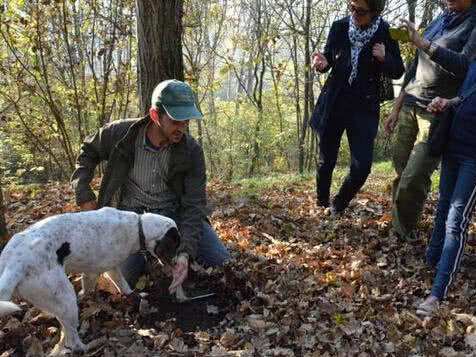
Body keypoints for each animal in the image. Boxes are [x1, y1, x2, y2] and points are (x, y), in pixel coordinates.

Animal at [0, 207, 180, 354]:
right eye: (175, 246)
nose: (176, 264)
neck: (138, 228)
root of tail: (14, 264)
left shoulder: (90, 273)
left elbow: (89, 289)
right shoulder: (106, 269)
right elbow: (122, 285)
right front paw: (133, 295)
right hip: (66, 298)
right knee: (72, 340)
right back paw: (87, 347)